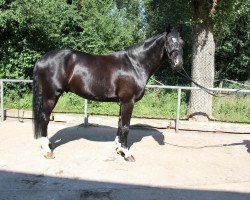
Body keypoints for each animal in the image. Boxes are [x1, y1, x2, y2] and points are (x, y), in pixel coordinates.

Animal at [32, 26, 183, 162]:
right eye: (169, 42)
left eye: (182, 43)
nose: (178, 64)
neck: (135, 64)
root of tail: (42, 59)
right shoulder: (128, 101)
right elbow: (126, 127)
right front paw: (127, 153)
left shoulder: (122, 102)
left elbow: (120, 124)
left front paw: (119, 148)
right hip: (51, 96)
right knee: (44, 118)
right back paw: (47, 151)